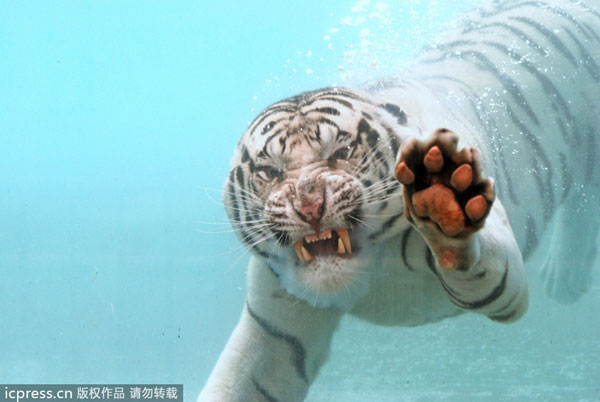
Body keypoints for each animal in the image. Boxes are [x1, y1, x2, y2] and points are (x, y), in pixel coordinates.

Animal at [199, 1, 596, 400]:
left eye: (342, 152)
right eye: (270, 172)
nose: (309, 207)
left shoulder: (504, 274)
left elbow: (480, 265)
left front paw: (443, 204)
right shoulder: (273, 327)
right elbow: (235, 382)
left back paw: (564, 277)